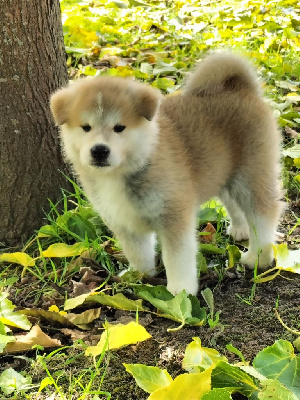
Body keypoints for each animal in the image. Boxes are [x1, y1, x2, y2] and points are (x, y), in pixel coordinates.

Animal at [50, 52, 282, 296]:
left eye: (119, 127)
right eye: (86, 127)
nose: (99, 150)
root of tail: (239, 88)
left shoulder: (173, 215)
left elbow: (177, 258)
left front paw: (181, 291)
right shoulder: (123, 220)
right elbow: (138, 253)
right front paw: (139, 276)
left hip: (252, 174)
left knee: (264, 214)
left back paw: (258, 257)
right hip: (225, 173)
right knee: (234, 204)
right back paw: (240, 230)